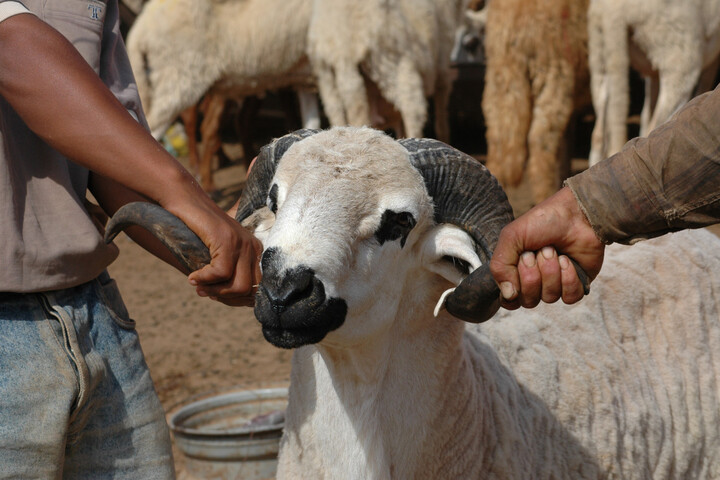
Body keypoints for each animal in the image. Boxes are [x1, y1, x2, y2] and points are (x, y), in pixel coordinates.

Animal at [307, 0, 468, 142]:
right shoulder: (442, 65)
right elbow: (441, 118)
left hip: (327, 77)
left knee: (338, 111)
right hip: (392, 61)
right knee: (412, 109)